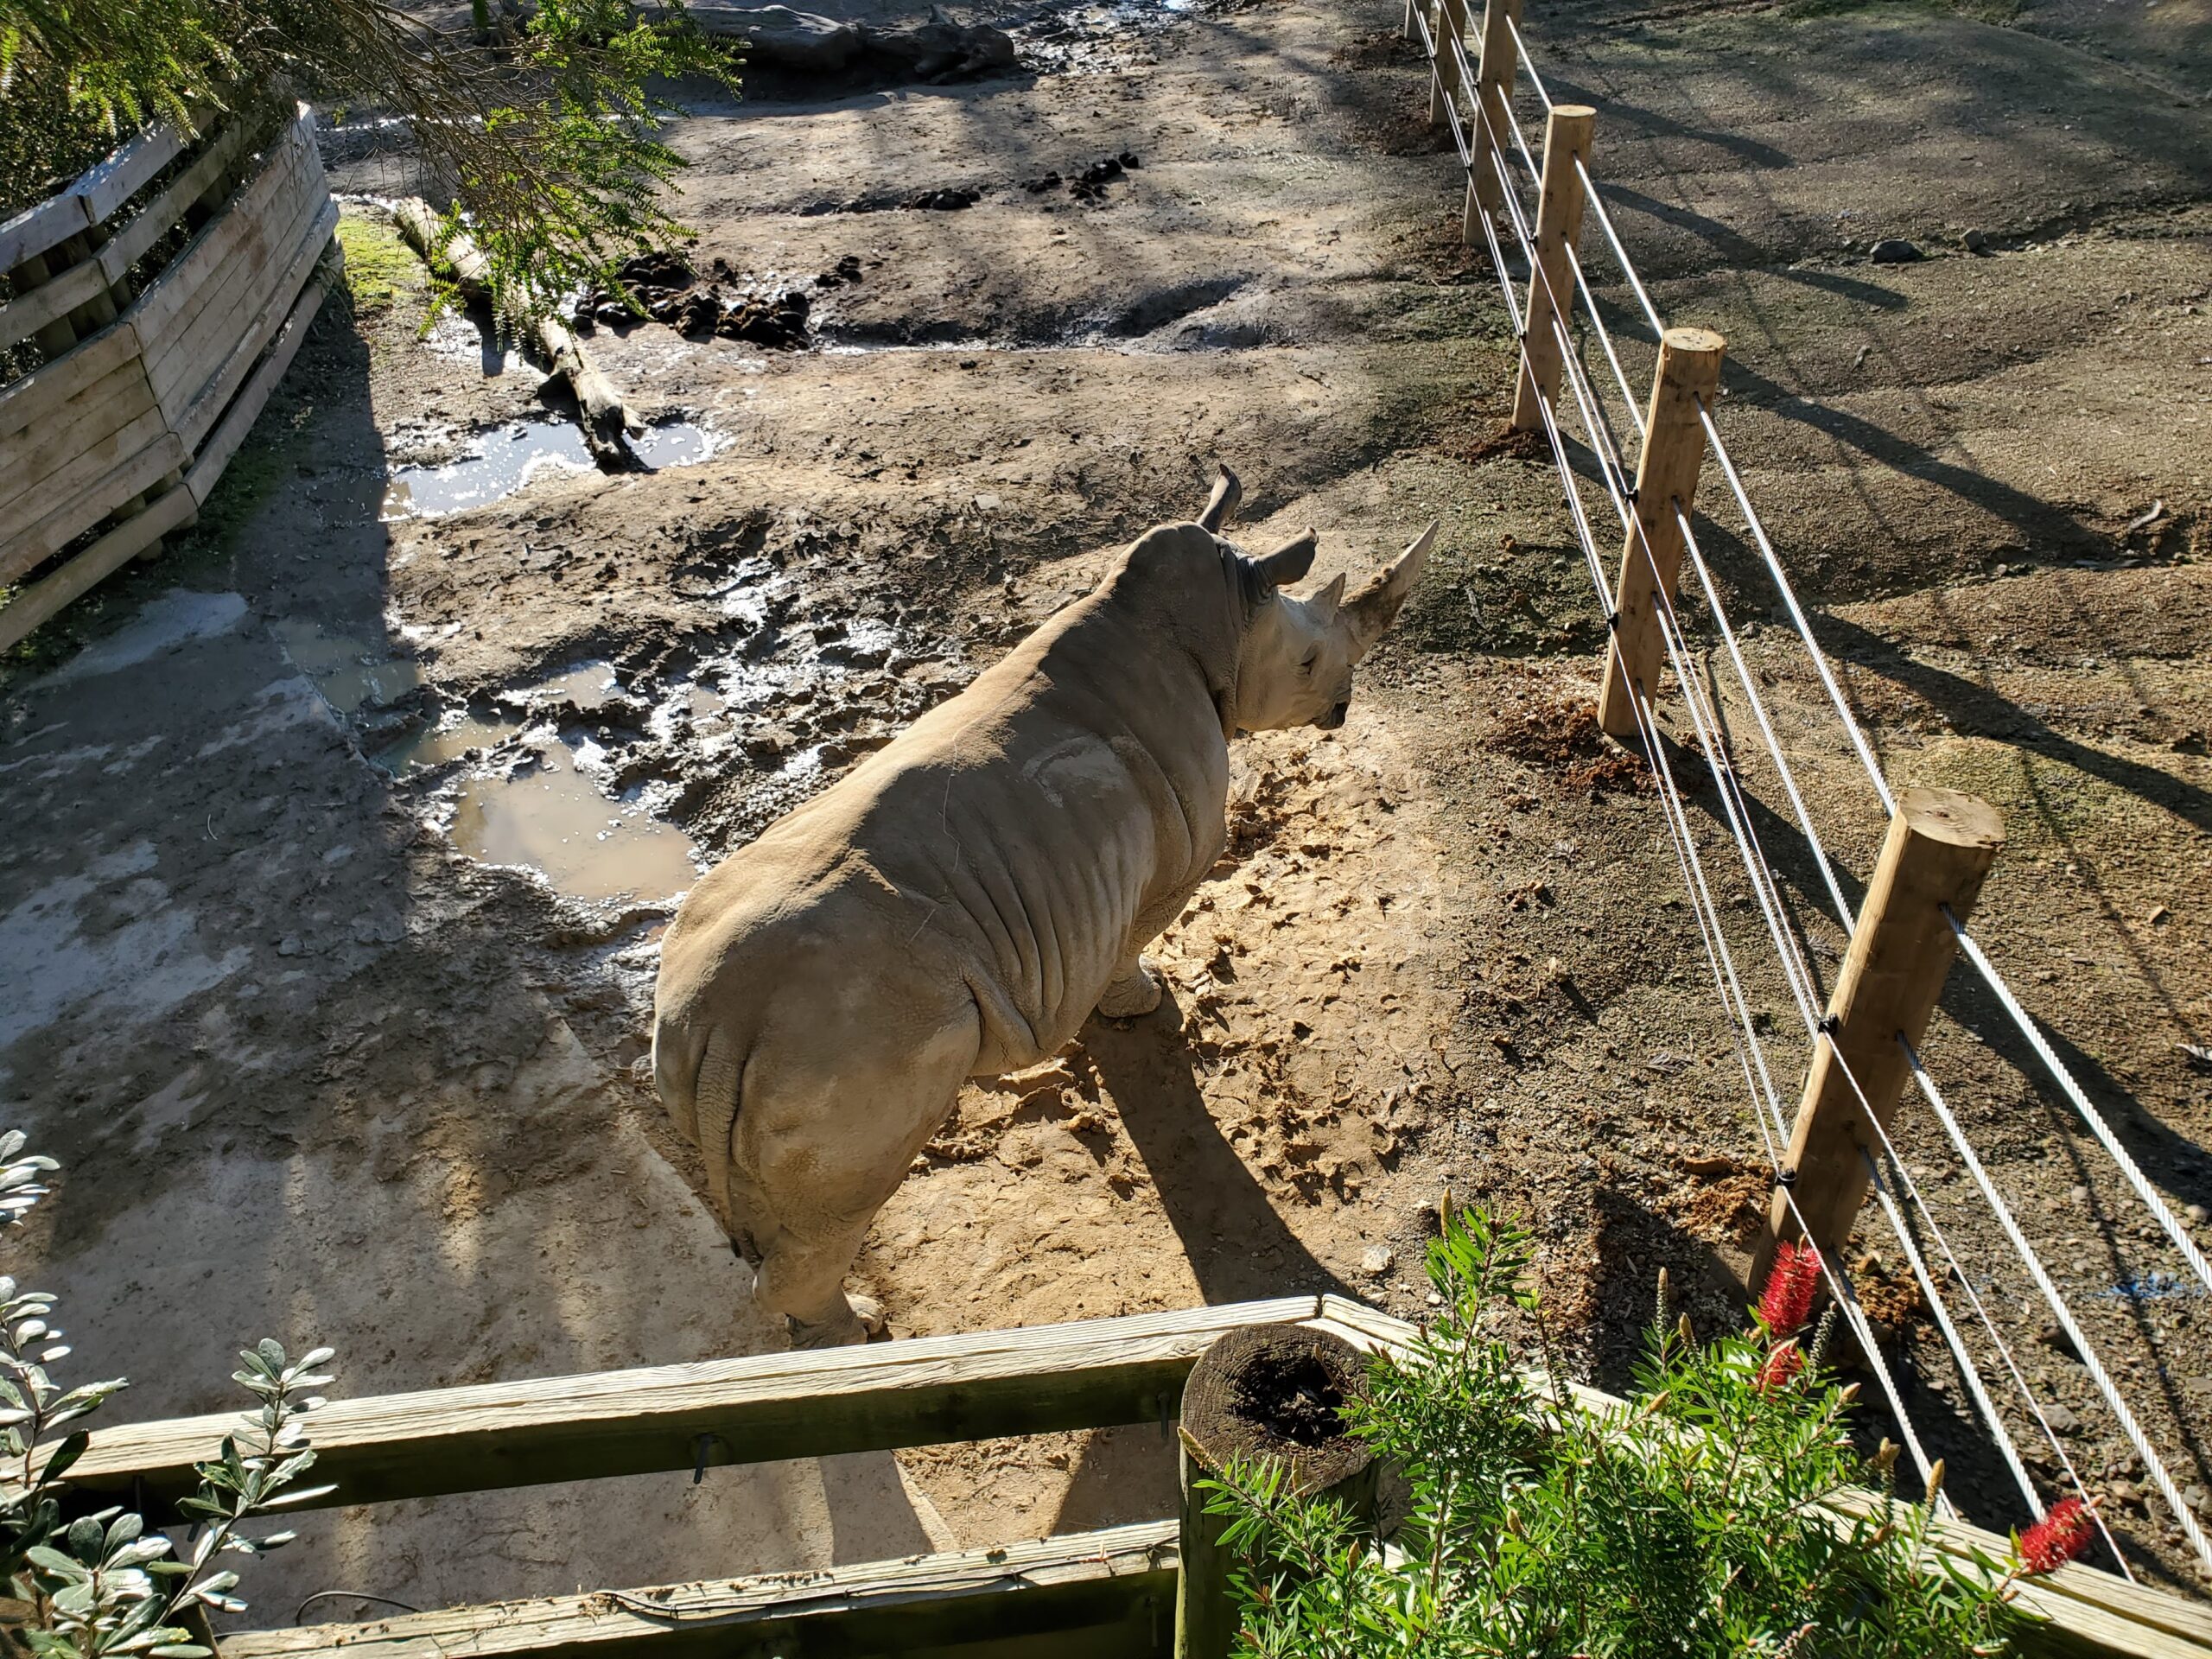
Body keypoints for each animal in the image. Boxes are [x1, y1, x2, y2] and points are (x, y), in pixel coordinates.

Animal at [652, 469, 1435, 1346]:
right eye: (1310, 659)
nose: (1343, 708)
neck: (1228, 623)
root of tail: (718, 1026)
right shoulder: (1176, 858)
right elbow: (1134, 941)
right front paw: (1142, 1004)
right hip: (838, 1046)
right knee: (841, 1208)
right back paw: (860, 1336)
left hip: (728, 1036)